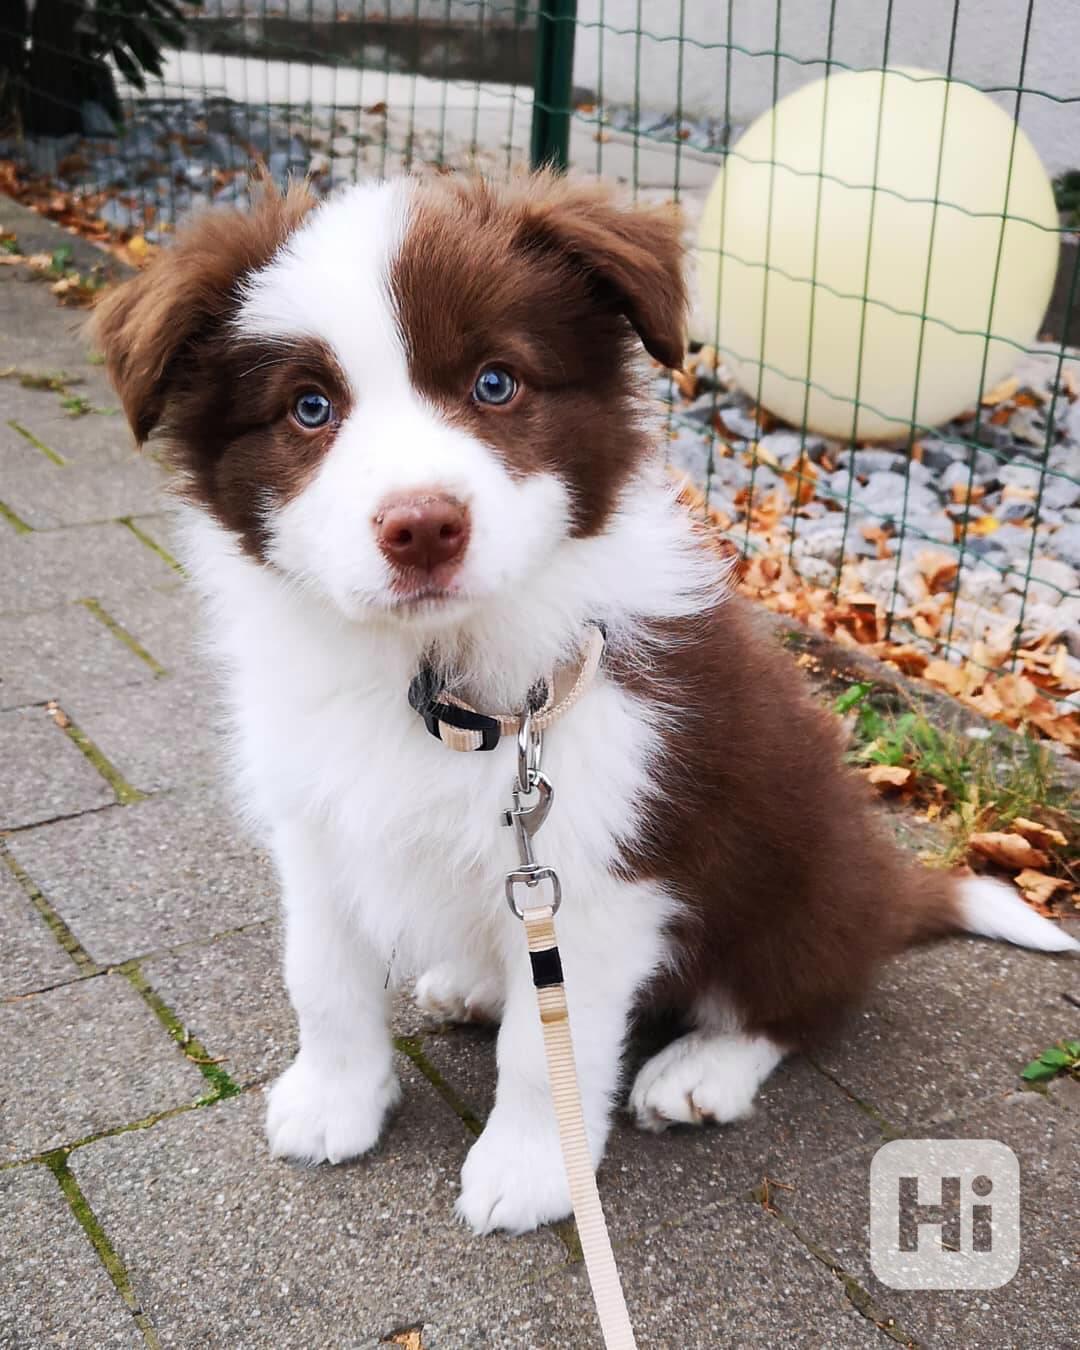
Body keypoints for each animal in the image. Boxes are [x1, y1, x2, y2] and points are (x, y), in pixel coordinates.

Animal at [95, 168, 1080, 1236]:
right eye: (309, 408)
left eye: (496, 383)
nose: (422, 527)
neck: (442, 686)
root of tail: (888, 889)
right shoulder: (317, 826)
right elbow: (322, 974)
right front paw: (334, 1101)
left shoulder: (603, 868)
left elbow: (547, 1049)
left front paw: (532, 1169)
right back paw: (472, 982)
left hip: (799, 871)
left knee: (800, 999)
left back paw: (703, 1070)